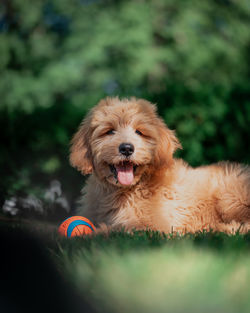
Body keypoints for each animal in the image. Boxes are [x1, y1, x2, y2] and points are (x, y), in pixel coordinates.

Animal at [69, 96, 250, 233]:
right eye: (109, 131)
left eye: (139, 132)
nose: (127, 148)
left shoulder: (154, 225)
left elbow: (116, 229)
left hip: (231, 197)